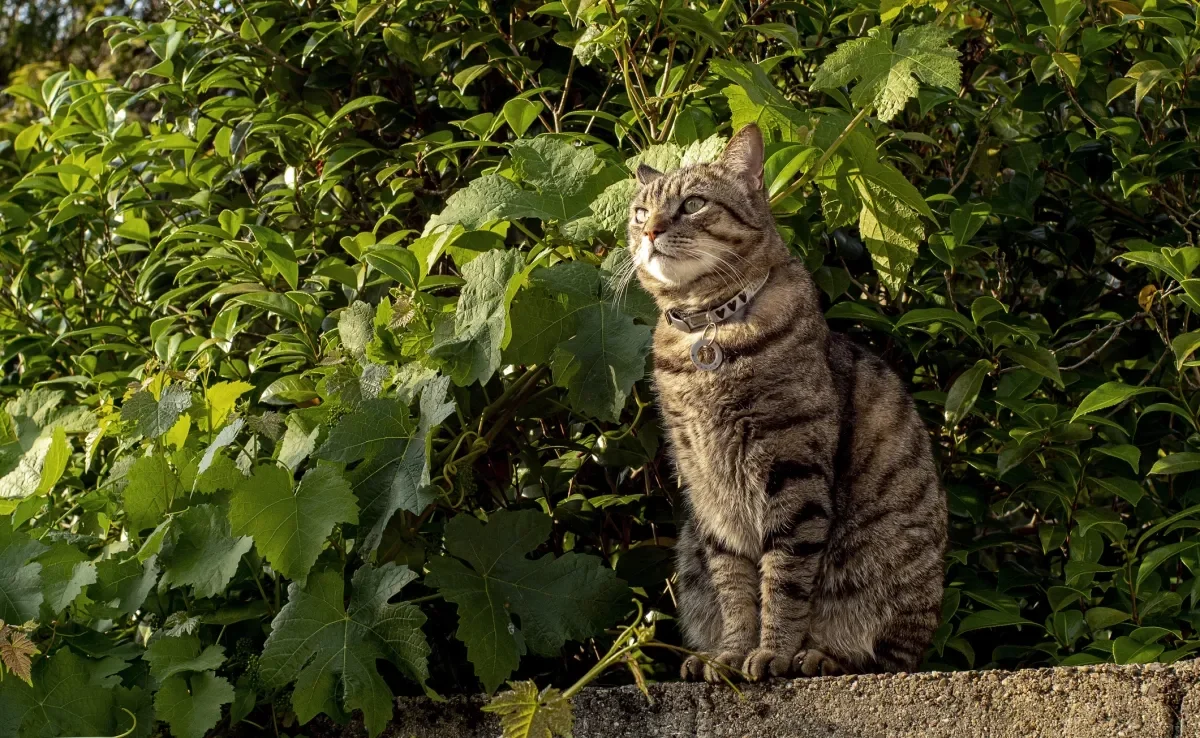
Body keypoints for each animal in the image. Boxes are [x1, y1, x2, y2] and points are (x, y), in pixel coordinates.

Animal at [628, 124, 945, 686]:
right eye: (641, 212)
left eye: (693, 204)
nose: (649, 232)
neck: (709, 331)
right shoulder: (708, 489)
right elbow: (734, 586)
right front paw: (731, 655)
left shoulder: (791, 468)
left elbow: (785, 578)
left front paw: (772, 653)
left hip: (888, 566)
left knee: (882, 655)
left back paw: (821, 656)